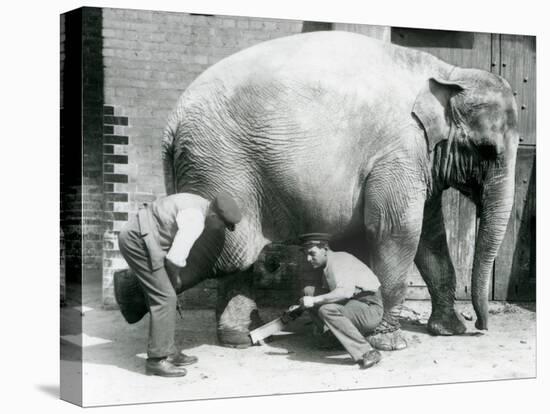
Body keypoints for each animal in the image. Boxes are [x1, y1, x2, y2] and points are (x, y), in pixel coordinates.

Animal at [161, 30, 520, 350]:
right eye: (487, 150)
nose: (480, 326)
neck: (448, 72)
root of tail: (172, 121)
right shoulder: (398, 153)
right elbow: (397, 231)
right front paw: (389, 342)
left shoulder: (419, 160)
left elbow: (430, 238)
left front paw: (448, 331)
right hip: (219, 164)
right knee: (231, 252)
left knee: (238, 255)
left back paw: (242, 337)